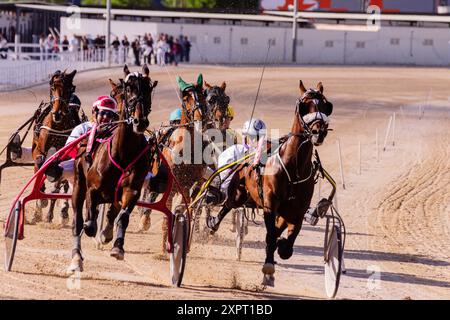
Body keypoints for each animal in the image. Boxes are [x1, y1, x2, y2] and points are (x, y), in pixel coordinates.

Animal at [32, 69, 81, 225]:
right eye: (53, 87)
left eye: (68, 89)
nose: (57, 113)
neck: (58, 125)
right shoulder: (39, 149)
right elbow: (39, 163)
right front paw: (39, 206)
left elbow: (58, 181)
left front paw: (49, 213)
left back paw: (60, 213)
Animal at [67, 65, 157, 272]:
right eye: (128, 88)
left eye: (148, 89)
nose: (140, 121)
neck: (124, 152)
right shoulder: (92, 189)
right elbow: (89, 224)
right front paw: (93, 228)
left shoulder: (132, 190)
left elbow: (122, 217)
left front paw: (117, 247)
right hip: (78, 185)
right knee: (78, 222)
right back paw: (77, 257)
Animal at [209, 79, 332, 284]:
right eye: (304, 105)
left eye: (326, 105)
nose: (318, 131)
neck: (294, 168)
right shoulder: (270, 203)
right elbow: (271, 235)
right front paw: (268, 265)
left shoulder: (296, 210)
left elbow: (287, 239)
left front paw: (281, 248)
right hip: (238, 193)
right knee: (227, 204)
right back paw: (213, 223)